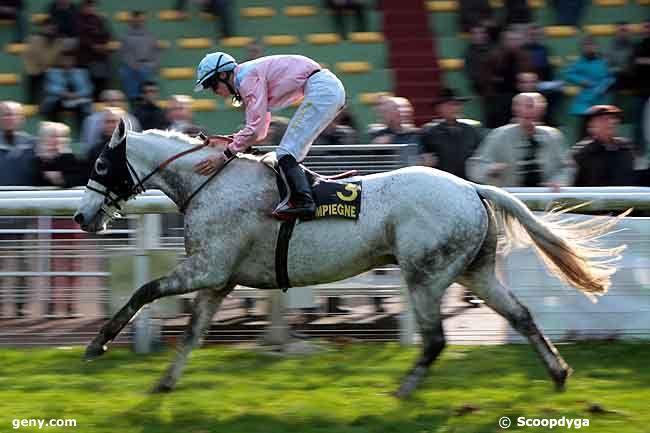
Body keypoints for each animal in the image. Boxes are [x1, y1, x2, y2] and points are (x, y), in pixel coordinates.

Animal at [74, 118, 624, 394]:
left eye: (100, 164)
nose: (81, 217)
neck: (209, 181)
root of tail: (472, 186)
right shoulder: (218, 279)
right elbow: (190, 333)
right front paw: (164, 383)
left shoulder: (208, 268)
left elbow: (144, 291)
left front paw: (97, 344)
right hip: (474, 271)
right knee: (522, 314)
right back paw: (558, 373)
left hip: (425, 275)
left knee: (435, 338)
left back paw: (404, 389)